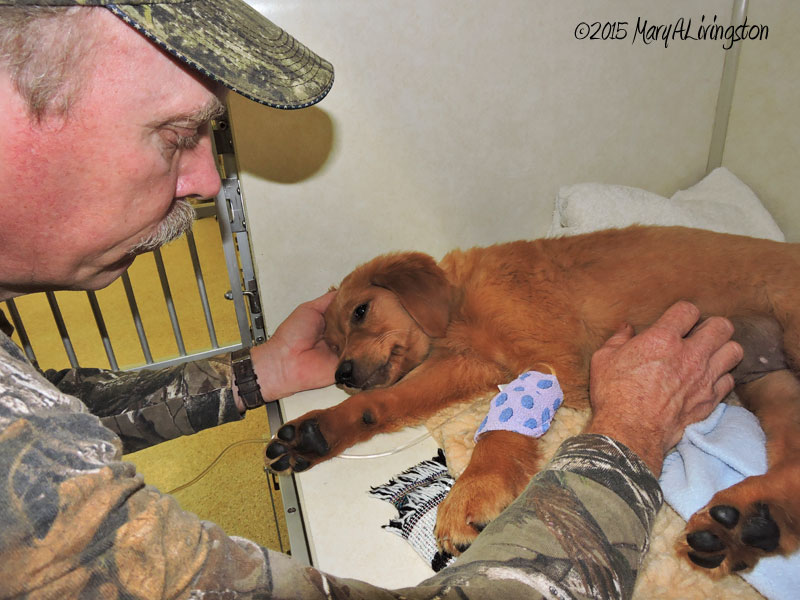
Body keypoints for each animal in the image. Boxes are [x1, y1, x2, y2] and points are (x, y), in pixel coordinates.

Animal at [265, 225, 800, 576]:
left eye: (361, 310)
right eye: (332, 343)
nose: (342, 374)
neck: (461, 306)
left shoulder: (547, 360)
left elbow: (503, 426)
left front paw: (474, 491)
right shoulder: (466, 364)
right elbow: (390, 400)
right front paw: (316, 431)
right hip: (772, 385)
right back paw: (750, 522)